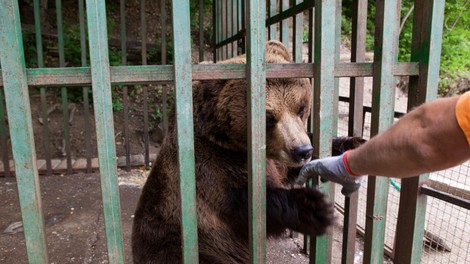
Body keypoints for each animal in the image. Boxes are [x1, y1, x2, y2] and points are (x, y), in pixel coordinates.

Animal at [133, 40, 360, 262]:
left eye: (301, 107)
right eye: (269, 118)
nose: (302, 151)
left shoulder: (273, 156)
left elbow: (286, 169)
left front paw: (350, 144)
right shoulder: (212, 169)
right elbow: (251, 205)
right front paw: (314, 207)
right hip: (185, 246)